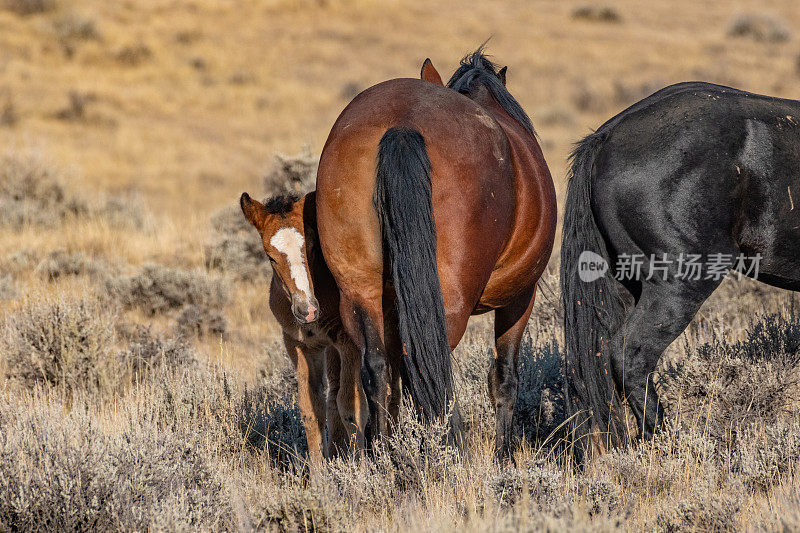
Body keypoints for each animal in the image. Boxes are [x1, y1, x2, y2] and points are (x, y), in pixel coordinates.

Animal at [314, 48, 556, 458]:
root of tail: (402, 124)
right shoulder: (521, 296)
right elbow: (505, 378)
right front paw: (503, 456)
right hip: (451, 301)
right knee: (428, 369)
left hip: (359, 293)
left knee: (377, 368)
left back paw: (384, 453)